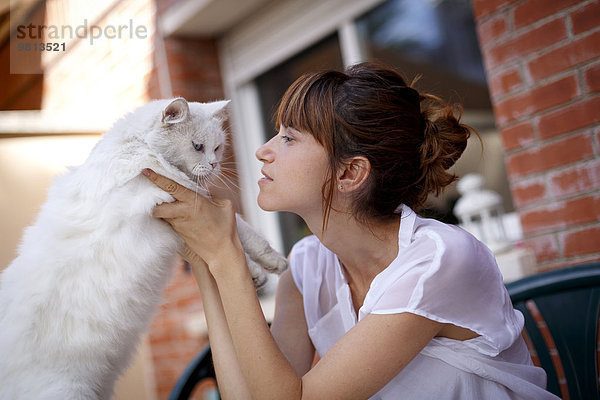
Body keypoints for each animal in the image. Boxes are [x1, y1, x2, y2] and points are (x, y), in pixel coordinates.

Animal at [0, 97, 288, 400]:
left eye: (217, 147)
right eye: (198, 146)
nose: (214, 164)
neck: (139, 148)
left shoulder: (188, 212)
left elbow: (238, 237)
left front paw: (269, 266)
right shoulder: (178, 211)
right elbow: (239, 237)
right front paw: (263, 269)